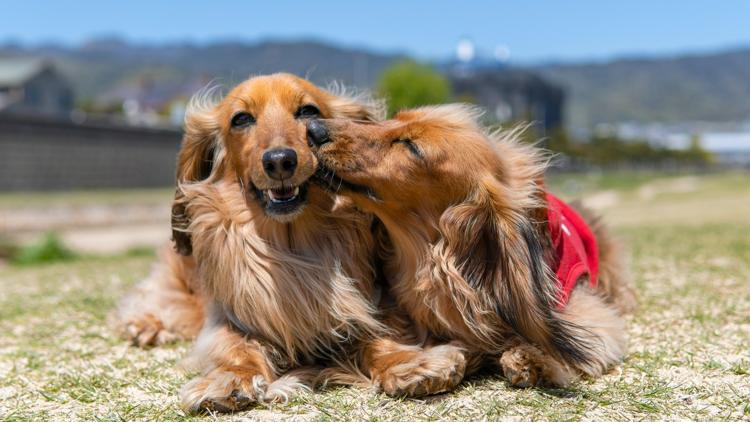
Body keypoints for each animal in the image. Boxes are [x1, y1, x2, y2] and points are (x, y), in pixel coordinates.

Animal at [308, 104, 636, 390]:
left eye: (412, 147)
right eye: (391, 119)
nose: (312, 127)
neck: (433, 262)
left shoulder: (581, 308)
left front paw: (533, 358)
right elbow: (371, 342)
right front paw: (409, 366)